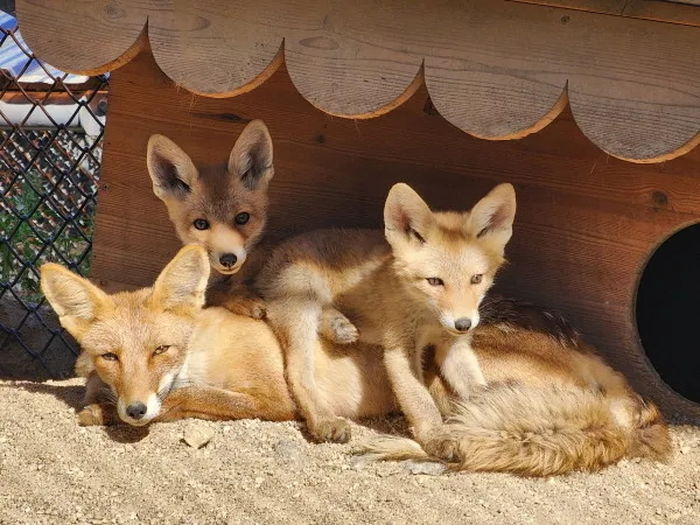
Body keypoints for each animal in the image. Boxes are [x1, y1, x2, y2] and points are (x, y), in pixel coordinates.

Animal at [39, 245, 672, 474]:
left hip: (443, 378)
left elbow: (195, 398)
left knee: (455, 436)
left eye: (161, 350)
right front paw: (96, 398)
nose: (136, 410)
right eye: (112, 355)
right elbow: (93, 389)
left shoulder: (270, 396)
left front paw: (117, 412)